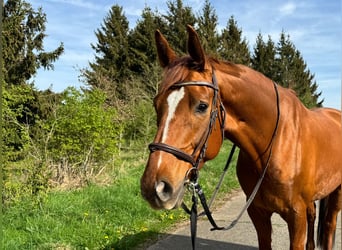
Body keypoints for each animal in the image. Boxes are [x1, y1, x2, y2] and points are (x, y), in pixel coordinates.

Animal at [140, 25, 340, 250]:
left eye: (202, 106)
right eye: (156, 104)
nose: (154, 187)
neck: (274, 144)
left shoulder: (296, 217)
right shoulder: (258, 213)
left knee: (330, 224)